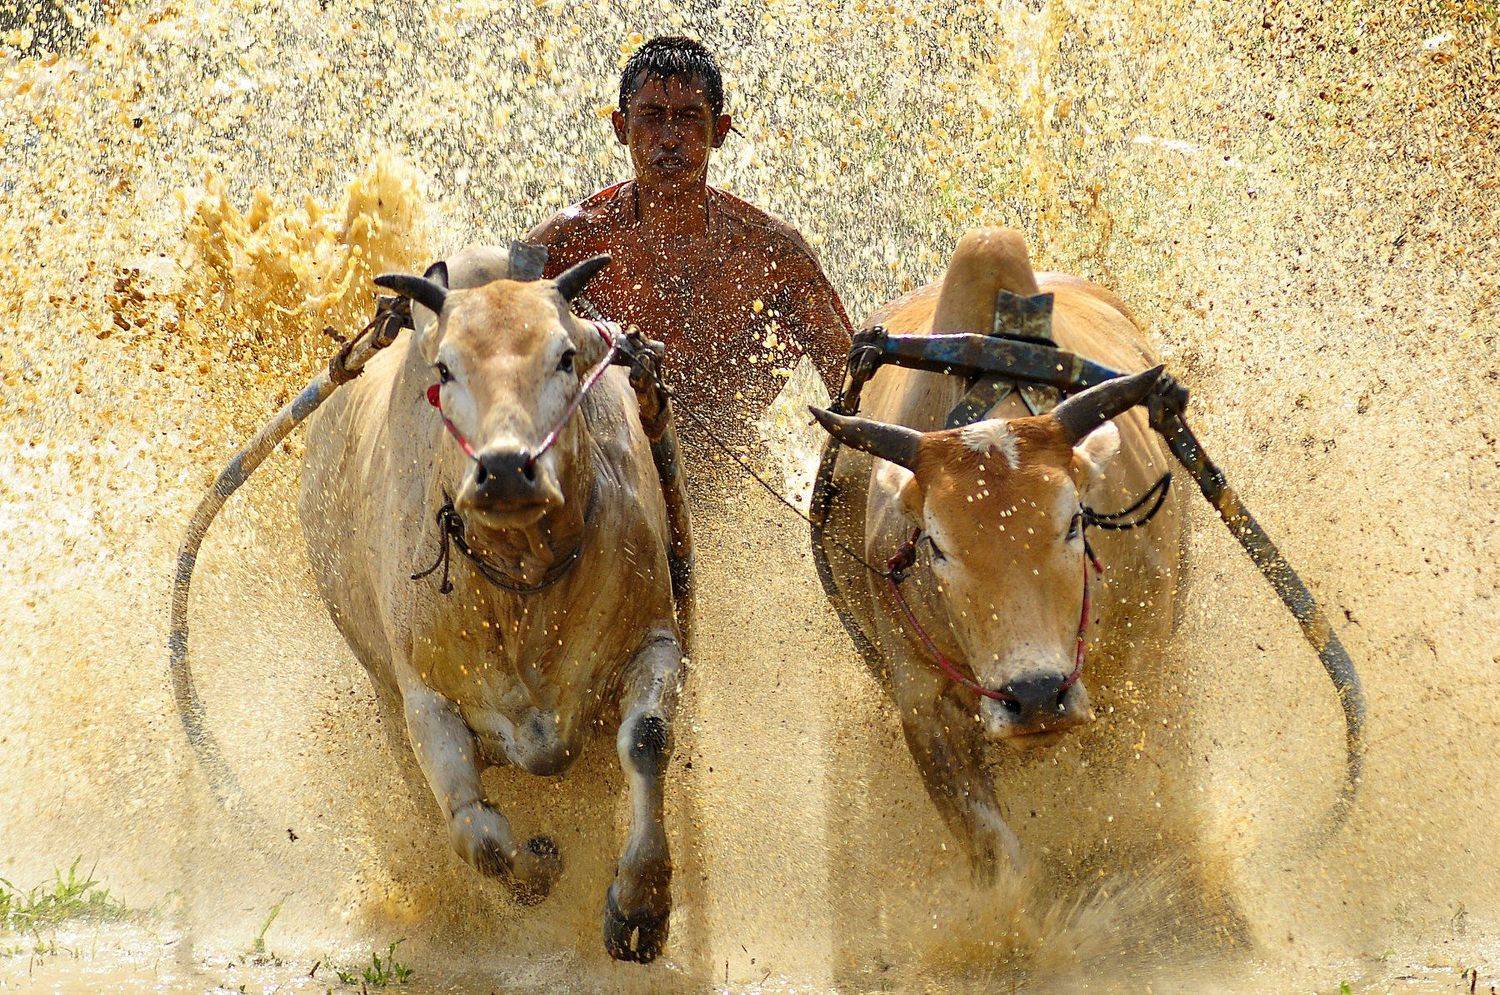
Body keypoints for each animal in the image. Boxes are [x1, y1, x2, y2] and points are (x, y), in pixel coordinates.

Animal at [294, 246, 688, 962]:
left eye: (566, 356)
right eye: (446, 368)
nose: (506, 468)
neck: (521, 583)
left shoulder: (654, 640)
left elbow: (646, 740)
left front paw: (641, 904)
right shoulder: (426, 699)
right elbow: (476, 833)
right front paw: (539, 869)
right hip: (383, 689)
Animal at [809, 228, 1184, 880]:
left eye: (1074, 522)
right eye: (936, 546)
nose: (1033, 696)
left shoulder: (1142, 663)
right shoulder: (921, 701)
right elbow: (999, 859)